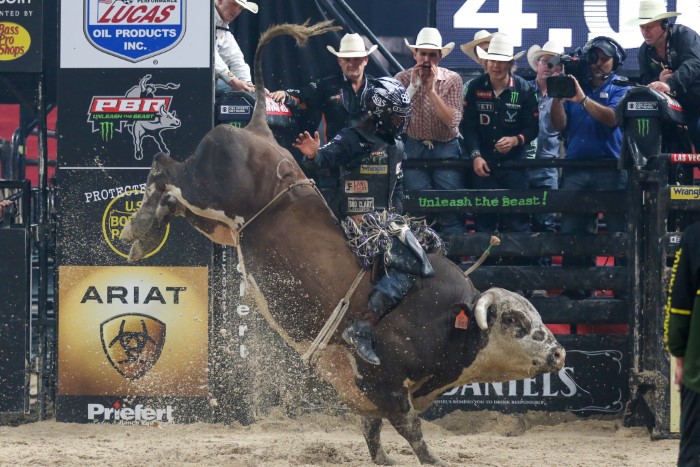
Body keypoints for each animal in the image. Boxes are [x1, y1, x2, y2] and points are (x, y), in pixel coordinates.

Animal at [121, 22, 565, 465]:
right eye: (514, 321)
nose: (559, 353)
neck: (450, 319)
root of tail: (257, 128)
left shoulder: (364, 397)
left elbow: (373, 433)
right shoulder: (384, 384)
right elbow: (412, 431)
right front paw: (431, 459)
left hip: (221, 225)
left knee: (173, 196)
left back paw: (145, 232)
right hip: (205, 189)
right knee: (165, 168)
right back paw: (136, 231)